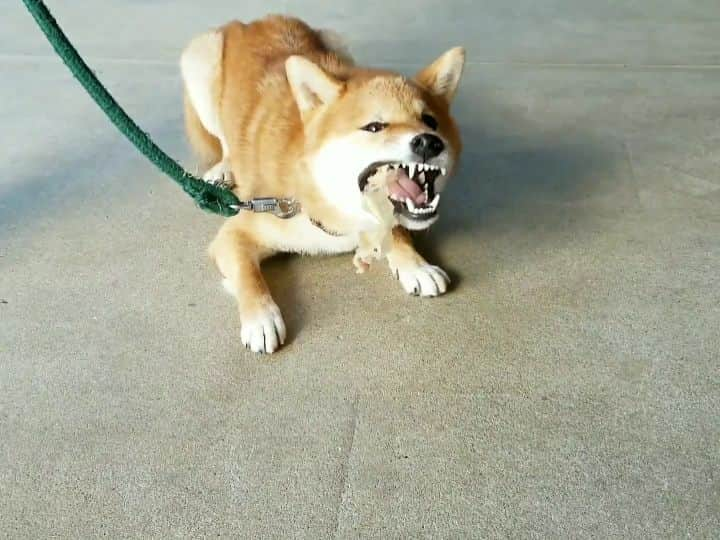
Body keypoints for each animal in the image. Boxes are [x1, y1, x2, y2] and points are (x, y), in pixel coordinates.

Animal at [181, 14, 466, 352]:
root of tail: (252, 21)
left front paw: (416, 265)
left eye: (431, 122)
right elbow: (248, 275)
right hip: (201, 63)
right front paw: (260, 317)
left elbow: (397, 230)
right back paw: (224, 168)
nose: (429, 143)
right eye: (374, 127)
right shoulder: (235, 235)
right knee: (224, 142)